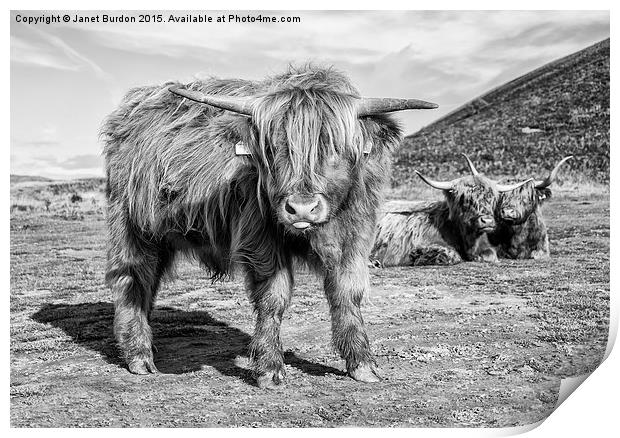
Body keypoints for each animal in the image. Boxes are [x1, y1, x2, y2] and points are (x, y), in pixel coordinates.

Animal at [99, 64, 436, 386]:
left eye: (334, 146)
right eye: (273, 148)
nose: (301, 208)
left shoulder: (355, 236)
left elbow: (347, 293)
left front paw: (362, 363)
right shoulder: (260, 238)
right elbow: (273, 298)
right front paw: (269, 369)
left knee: (150, 281)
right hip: (131, 226)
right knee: (133, 280)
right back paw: (139, 356)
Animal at [370, 166, 532, 266]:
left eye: (492, 199)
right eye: (466, 200)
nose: (487, 221)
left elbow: (491, 254)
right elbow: (450, 254)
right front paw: (420, 256)